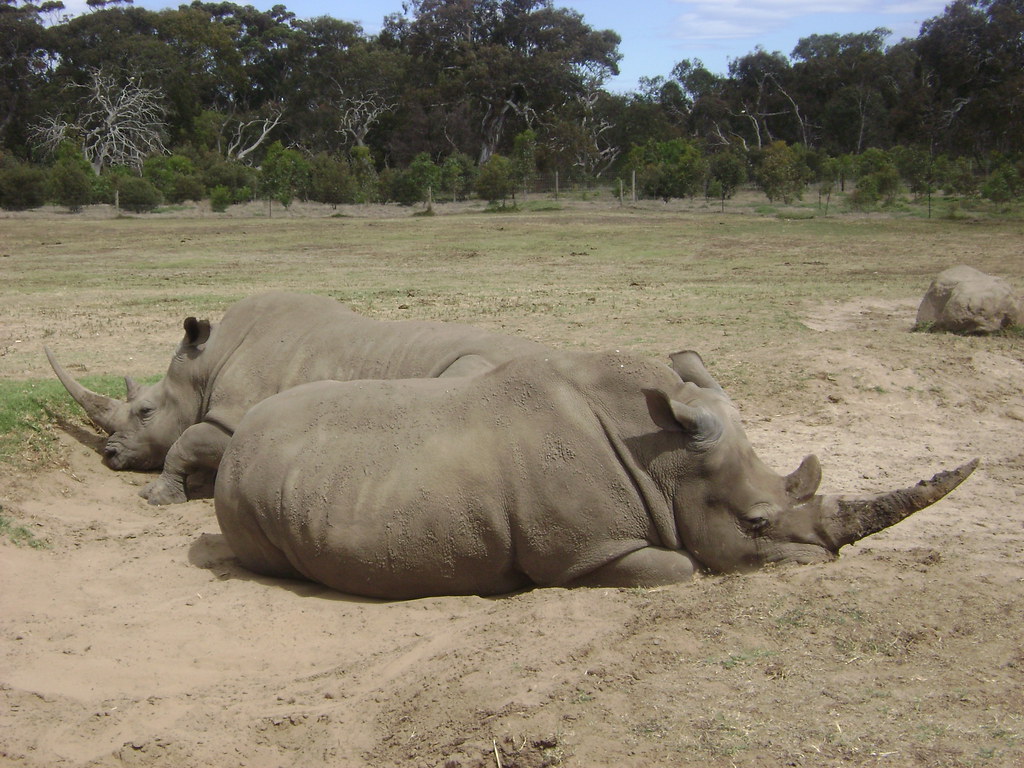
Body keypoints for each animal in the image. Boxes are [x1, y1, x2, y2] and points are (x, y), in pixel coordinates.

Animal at [46, 291, 547, 505]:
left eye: (145, 411)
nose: (110, 455)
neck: (207, 364)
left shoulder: (233, 420)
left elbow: (183, 442)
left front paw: (157, 497)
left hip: (479, 367)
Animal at [214, 349, 976, 598]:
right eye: (757, 523)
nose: (824, 559)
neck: (666, 458)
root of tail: (238, 441)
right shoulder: (587, 553)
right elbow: (682, 566)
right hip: (244, 493)